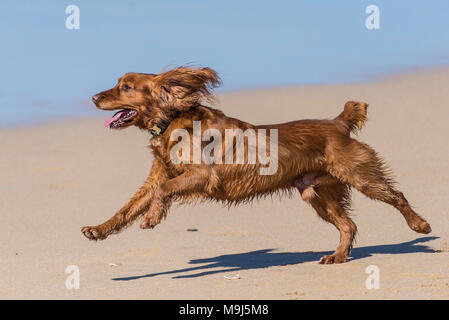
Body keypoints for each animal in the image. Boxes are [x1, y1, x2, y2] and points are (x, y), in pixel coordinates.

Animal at [81, 66, 430, 264]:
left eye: (126, 87)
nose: (94, 97)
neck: (173, 121)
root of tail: (338, 122)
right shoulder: (158, 176)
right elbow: (127, 208)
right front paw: (98, 230)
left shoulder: (202, 174)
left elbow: (162, 191)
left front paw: (152, 217)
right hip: (316, 193)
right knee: (349, 225)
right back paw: (339, 256)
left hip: (360, 176)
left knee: (397, 196)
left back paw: (420, 225)